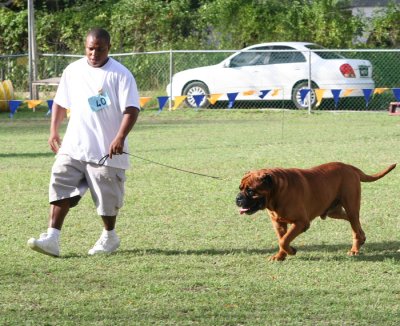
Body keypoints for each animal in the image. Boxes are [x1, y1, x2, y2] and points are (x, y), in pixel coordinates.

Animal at [236, 162, 396, 262]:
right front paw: (281, 256)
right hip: (335, 211)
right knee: (355, 223)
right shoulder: (278, 223)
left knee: (354, 225)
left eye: (251, 191)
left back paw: (355, 249)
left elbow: (284, 240)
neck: (278, 191)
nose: (237, 199)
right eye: (240, 188)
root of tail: (349, 167)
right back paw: (362, 238)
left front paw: (291, 251)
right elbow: (282, 239)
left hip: (351, 206)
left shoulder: (301, 223)